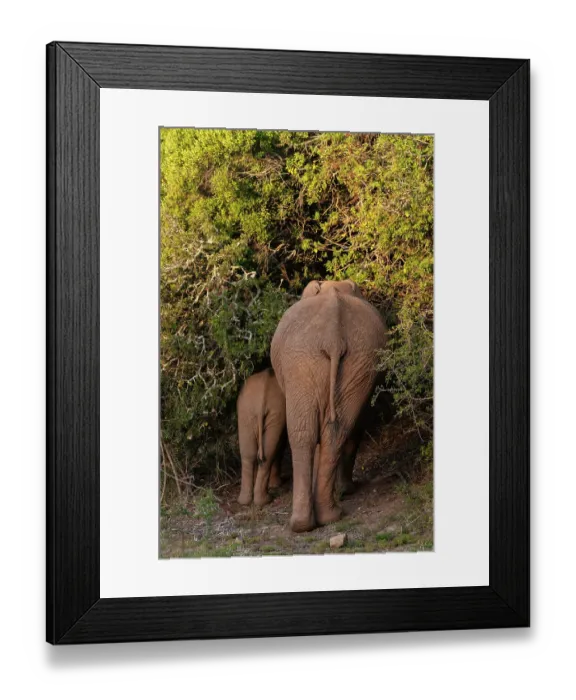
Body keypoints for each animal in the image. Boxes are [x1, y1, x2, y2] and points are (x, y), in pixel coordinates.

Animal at [237, 368, 287, 507]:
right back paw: (265, 500)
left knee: (249, 454)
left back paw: (247, 501)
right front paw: (276, 485)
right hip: (267, 411)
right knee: (267, 452)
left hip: (248, 412)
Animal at [271, 279, 387, 532]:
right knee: (330, 431)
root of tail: (333, 337)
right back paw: (322, 519)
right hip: (345, 361)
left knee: (311, 433)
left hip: (317, 361)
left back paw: (312, 521)